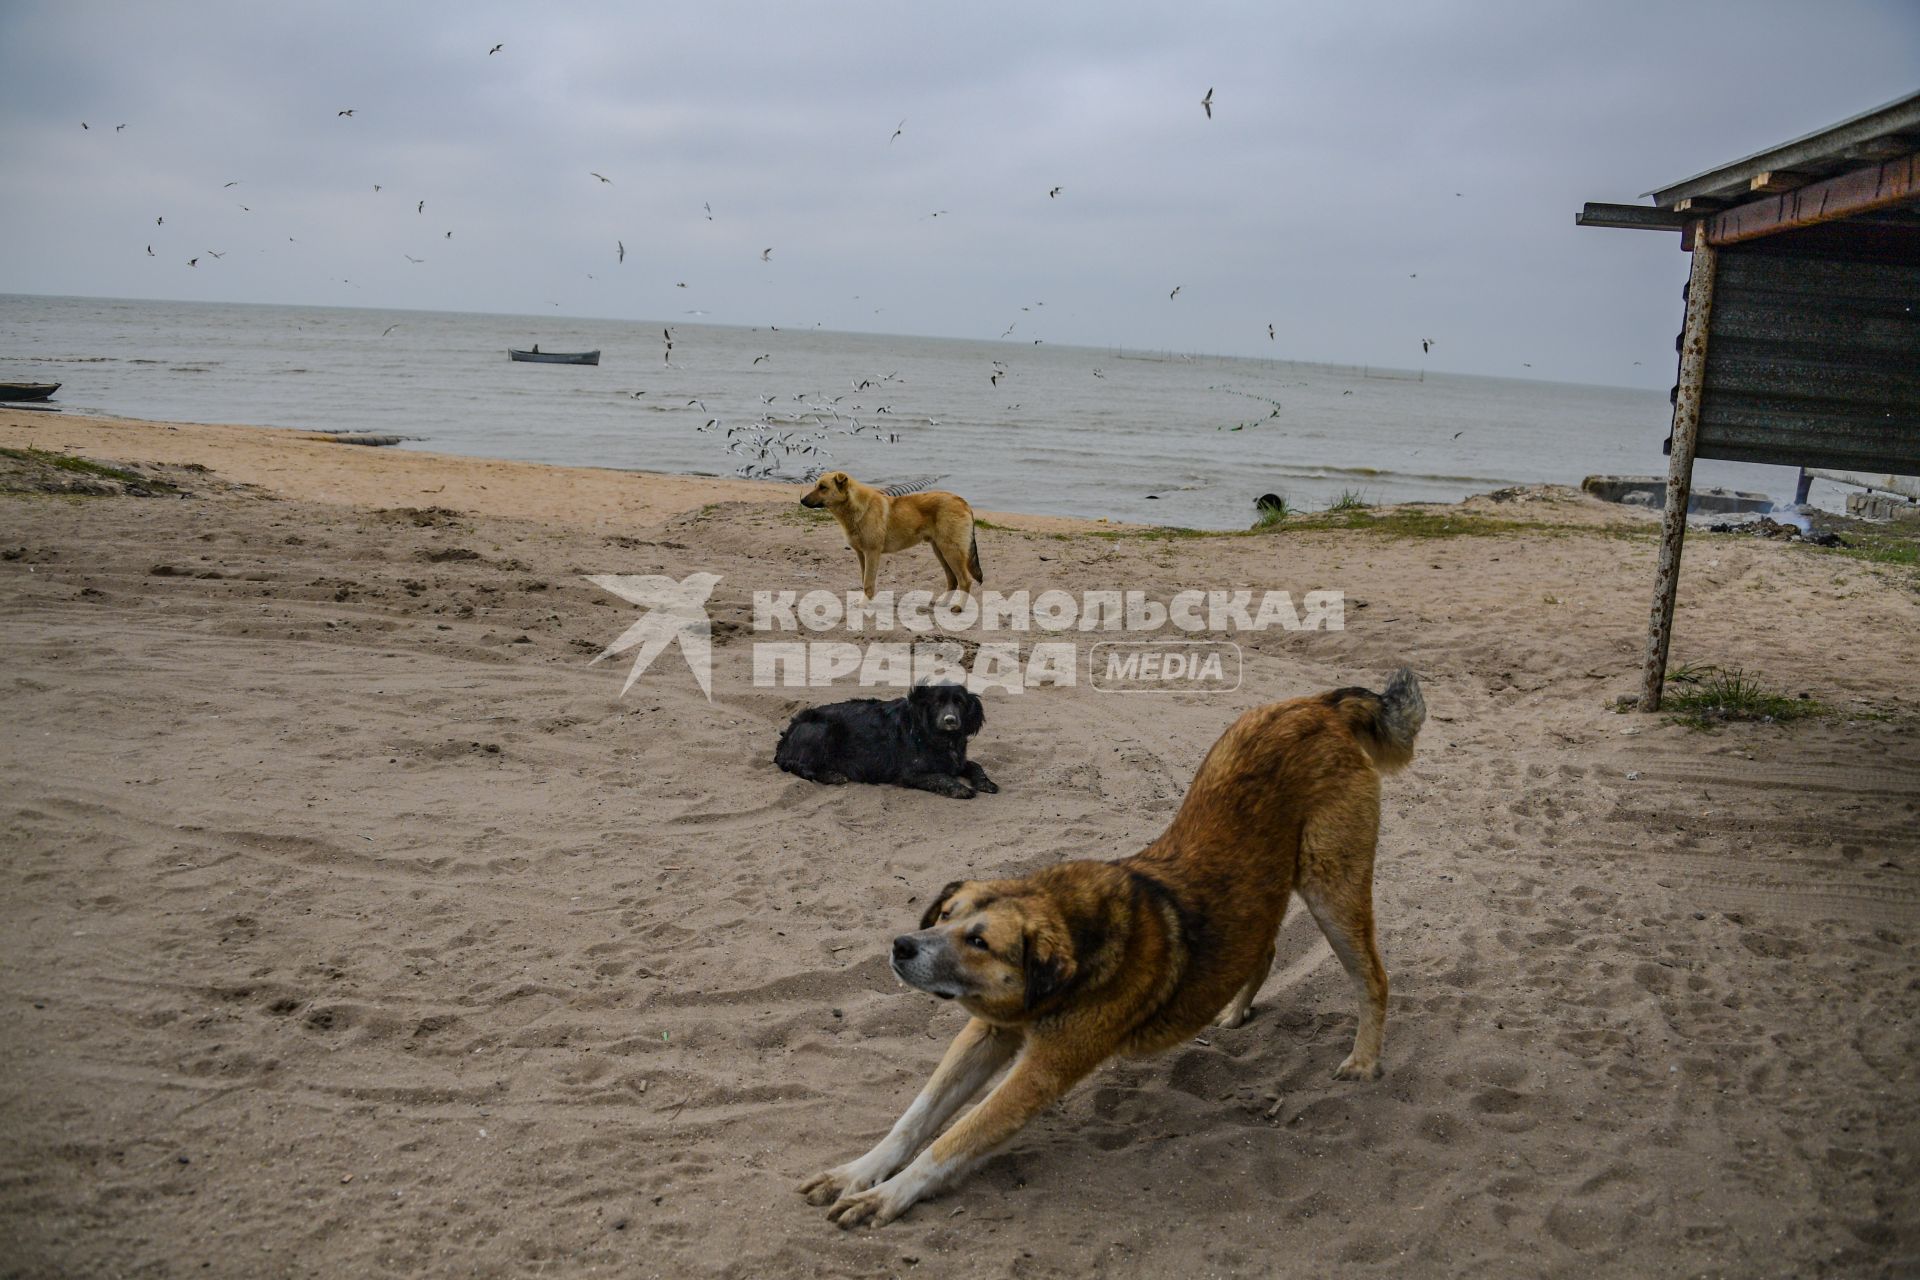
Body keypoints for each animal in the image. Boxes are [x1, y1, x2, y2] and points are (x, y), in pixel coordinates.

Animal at [771, 687, 998, 794]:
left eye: (959, 702)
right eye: (937, 703)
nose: (950, 720)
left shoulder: (957, 761)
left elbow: (975, 765)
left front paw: (986, 783)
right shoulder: (909, 773)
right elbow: (941, 777)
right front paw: (960, 789)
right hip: (822, 729)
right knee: (803, 765)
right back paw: (834, 775)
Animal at [794, 667, 1428, 1228]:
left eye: (979, 941)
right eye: (944, 915)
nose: (901, 946)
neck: (1075, 944)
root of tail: (1322, 704)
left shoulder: (1044, 1069)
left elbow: (951, 1140)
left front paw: (888, 1195)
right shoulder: (987, 1032)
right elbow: (916, 1116)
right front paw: (858, 1171)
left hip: (1332, 887)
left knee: (1373, 977)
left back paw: (1363, 1061)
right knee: (1264, 947)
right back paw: (1234, 1009)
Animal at [798, 474, 983, 610]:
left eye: (823, 487)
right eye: (816, 485)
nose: (801, 500)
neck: (856, 508)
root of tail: (962, 502)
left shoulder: (872, 553)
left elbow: (868, 582)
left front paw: (864, 604)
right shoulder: (862, 554)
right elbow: (865, 580)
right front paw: (867, 601)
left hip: (951, 551)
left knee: (964, 581)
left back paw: (959, 607)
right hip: (941, 551)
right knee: (952, 579)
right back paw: (944, 602)